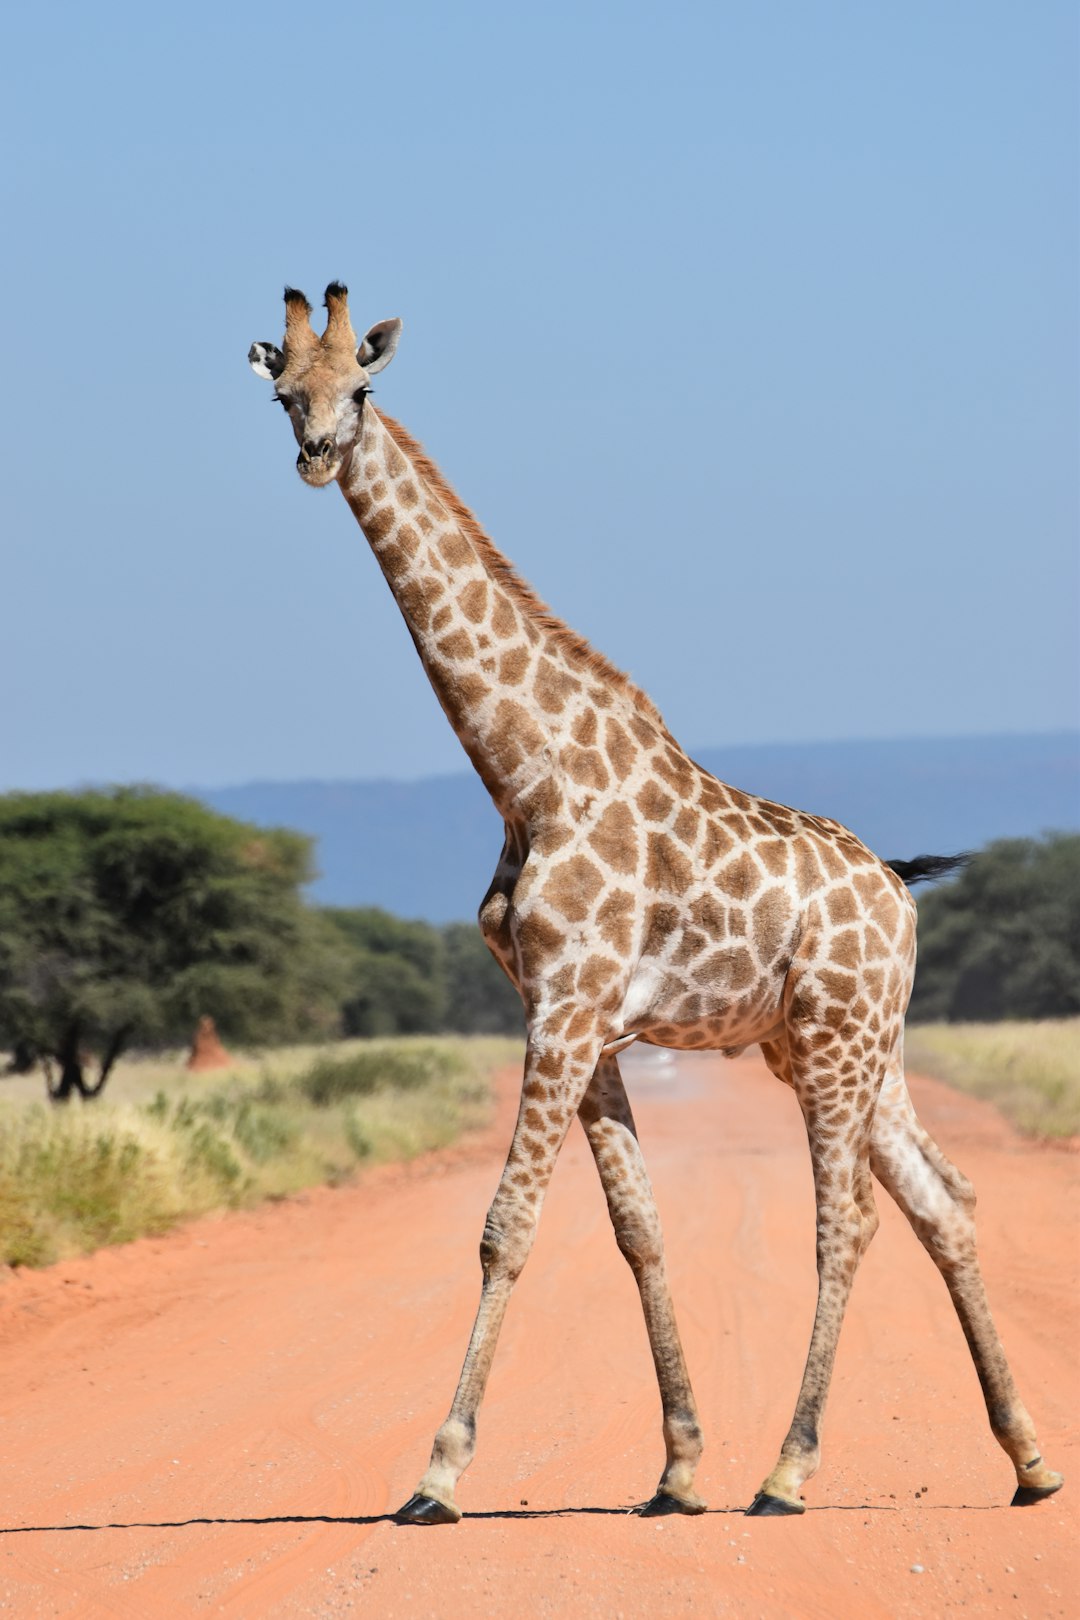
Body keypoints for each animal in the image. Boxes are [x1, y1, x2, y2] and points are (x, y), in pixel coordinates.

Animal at [247, 288, 1062, 1516]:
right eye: (287, 391)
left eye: (364, 386)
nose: (318, 453)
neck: (524, 773)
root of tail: (897, 890)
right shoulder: (574, 1018)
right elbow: (637, 1228)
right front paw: (678, 1465)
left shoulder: (569, 1008)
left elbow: (508, 1227)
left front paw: (438, 1471)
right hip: (849, 1045)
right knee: (943, 1201)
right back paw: (1028, 1461)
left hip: (836, 1040)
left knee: (848, 1222)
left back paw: (790, 1470)